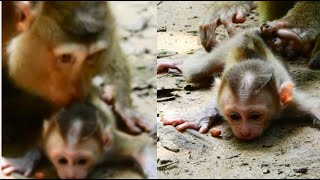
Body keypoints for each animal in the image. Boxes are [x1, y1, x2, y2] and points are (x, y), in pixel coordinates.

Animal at [1, 97, 156, 179]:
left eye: (82, 161)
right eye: (62, 160)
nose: (71, 176)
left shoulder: (109, 148)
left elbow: (140, 147)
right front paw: (20, 162)